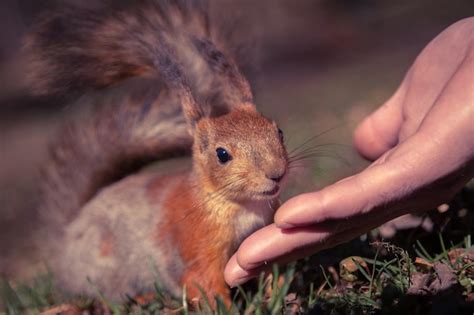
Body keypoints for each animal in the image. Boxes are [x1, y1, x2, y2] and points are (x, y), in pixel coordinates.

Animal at [25, 0, 288, 306]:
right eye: (222, 154)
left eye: (278, 131)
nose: (276, 173)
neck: (242, 206)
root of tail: (66, 239)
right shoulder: (194, 249)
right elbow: (204, 282)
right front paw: (226, 308)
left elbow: (271, 266)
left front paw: (278, 291)